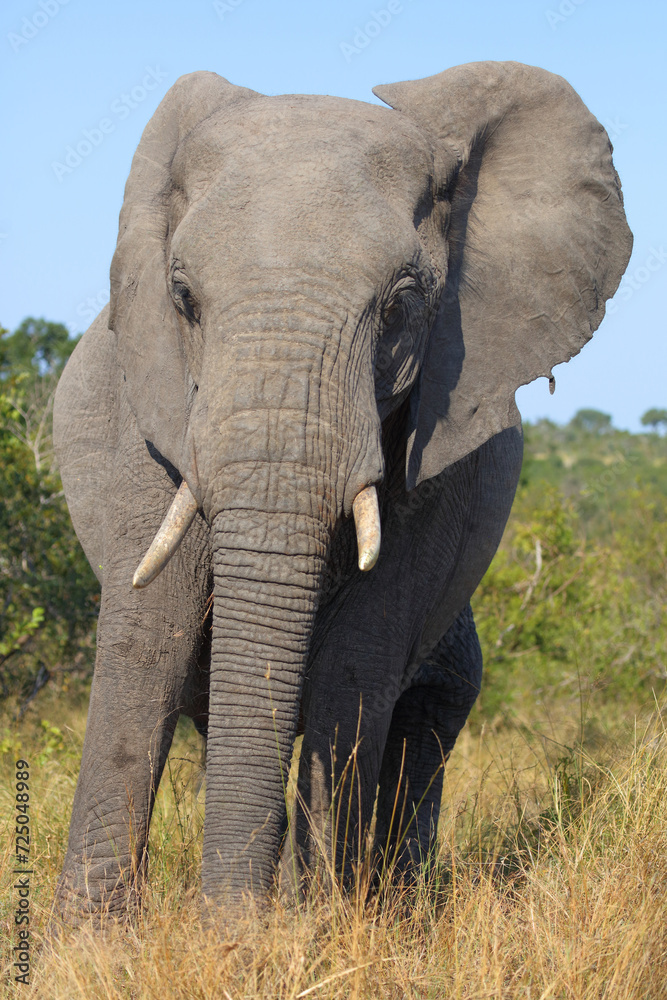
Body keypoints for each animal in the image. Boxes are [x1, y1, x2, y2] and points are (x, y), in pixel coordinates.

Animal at [52, 60, 631, 919]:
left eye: (399, 305)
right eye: (183, 300)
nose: (233, 924)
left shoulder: (442, 463)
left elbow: (357, 659)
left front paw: (317, 925)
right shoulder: (144, 423)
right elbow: (150, 639)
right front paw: (92, 940)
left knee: (431, 712)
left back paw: (396, 903)